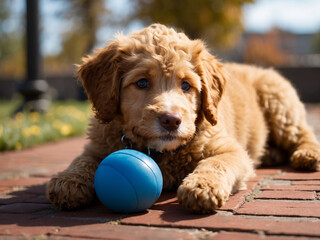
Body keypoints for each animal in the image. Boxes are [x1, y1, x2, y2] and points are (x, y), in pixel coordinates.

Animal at [45, 23, 320, 212]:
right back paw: (272, 154)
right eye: (142, 82)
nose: (171, 120)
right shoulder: (97, 145)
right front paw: (68, 181)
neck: (160, 152)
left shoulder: (230, 149)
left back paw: (307, 155)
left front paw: (202, 187)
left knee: (304, 133)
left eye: (186, 85)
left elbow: (215, 163)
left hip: (280, 103)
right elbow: (83, 161)